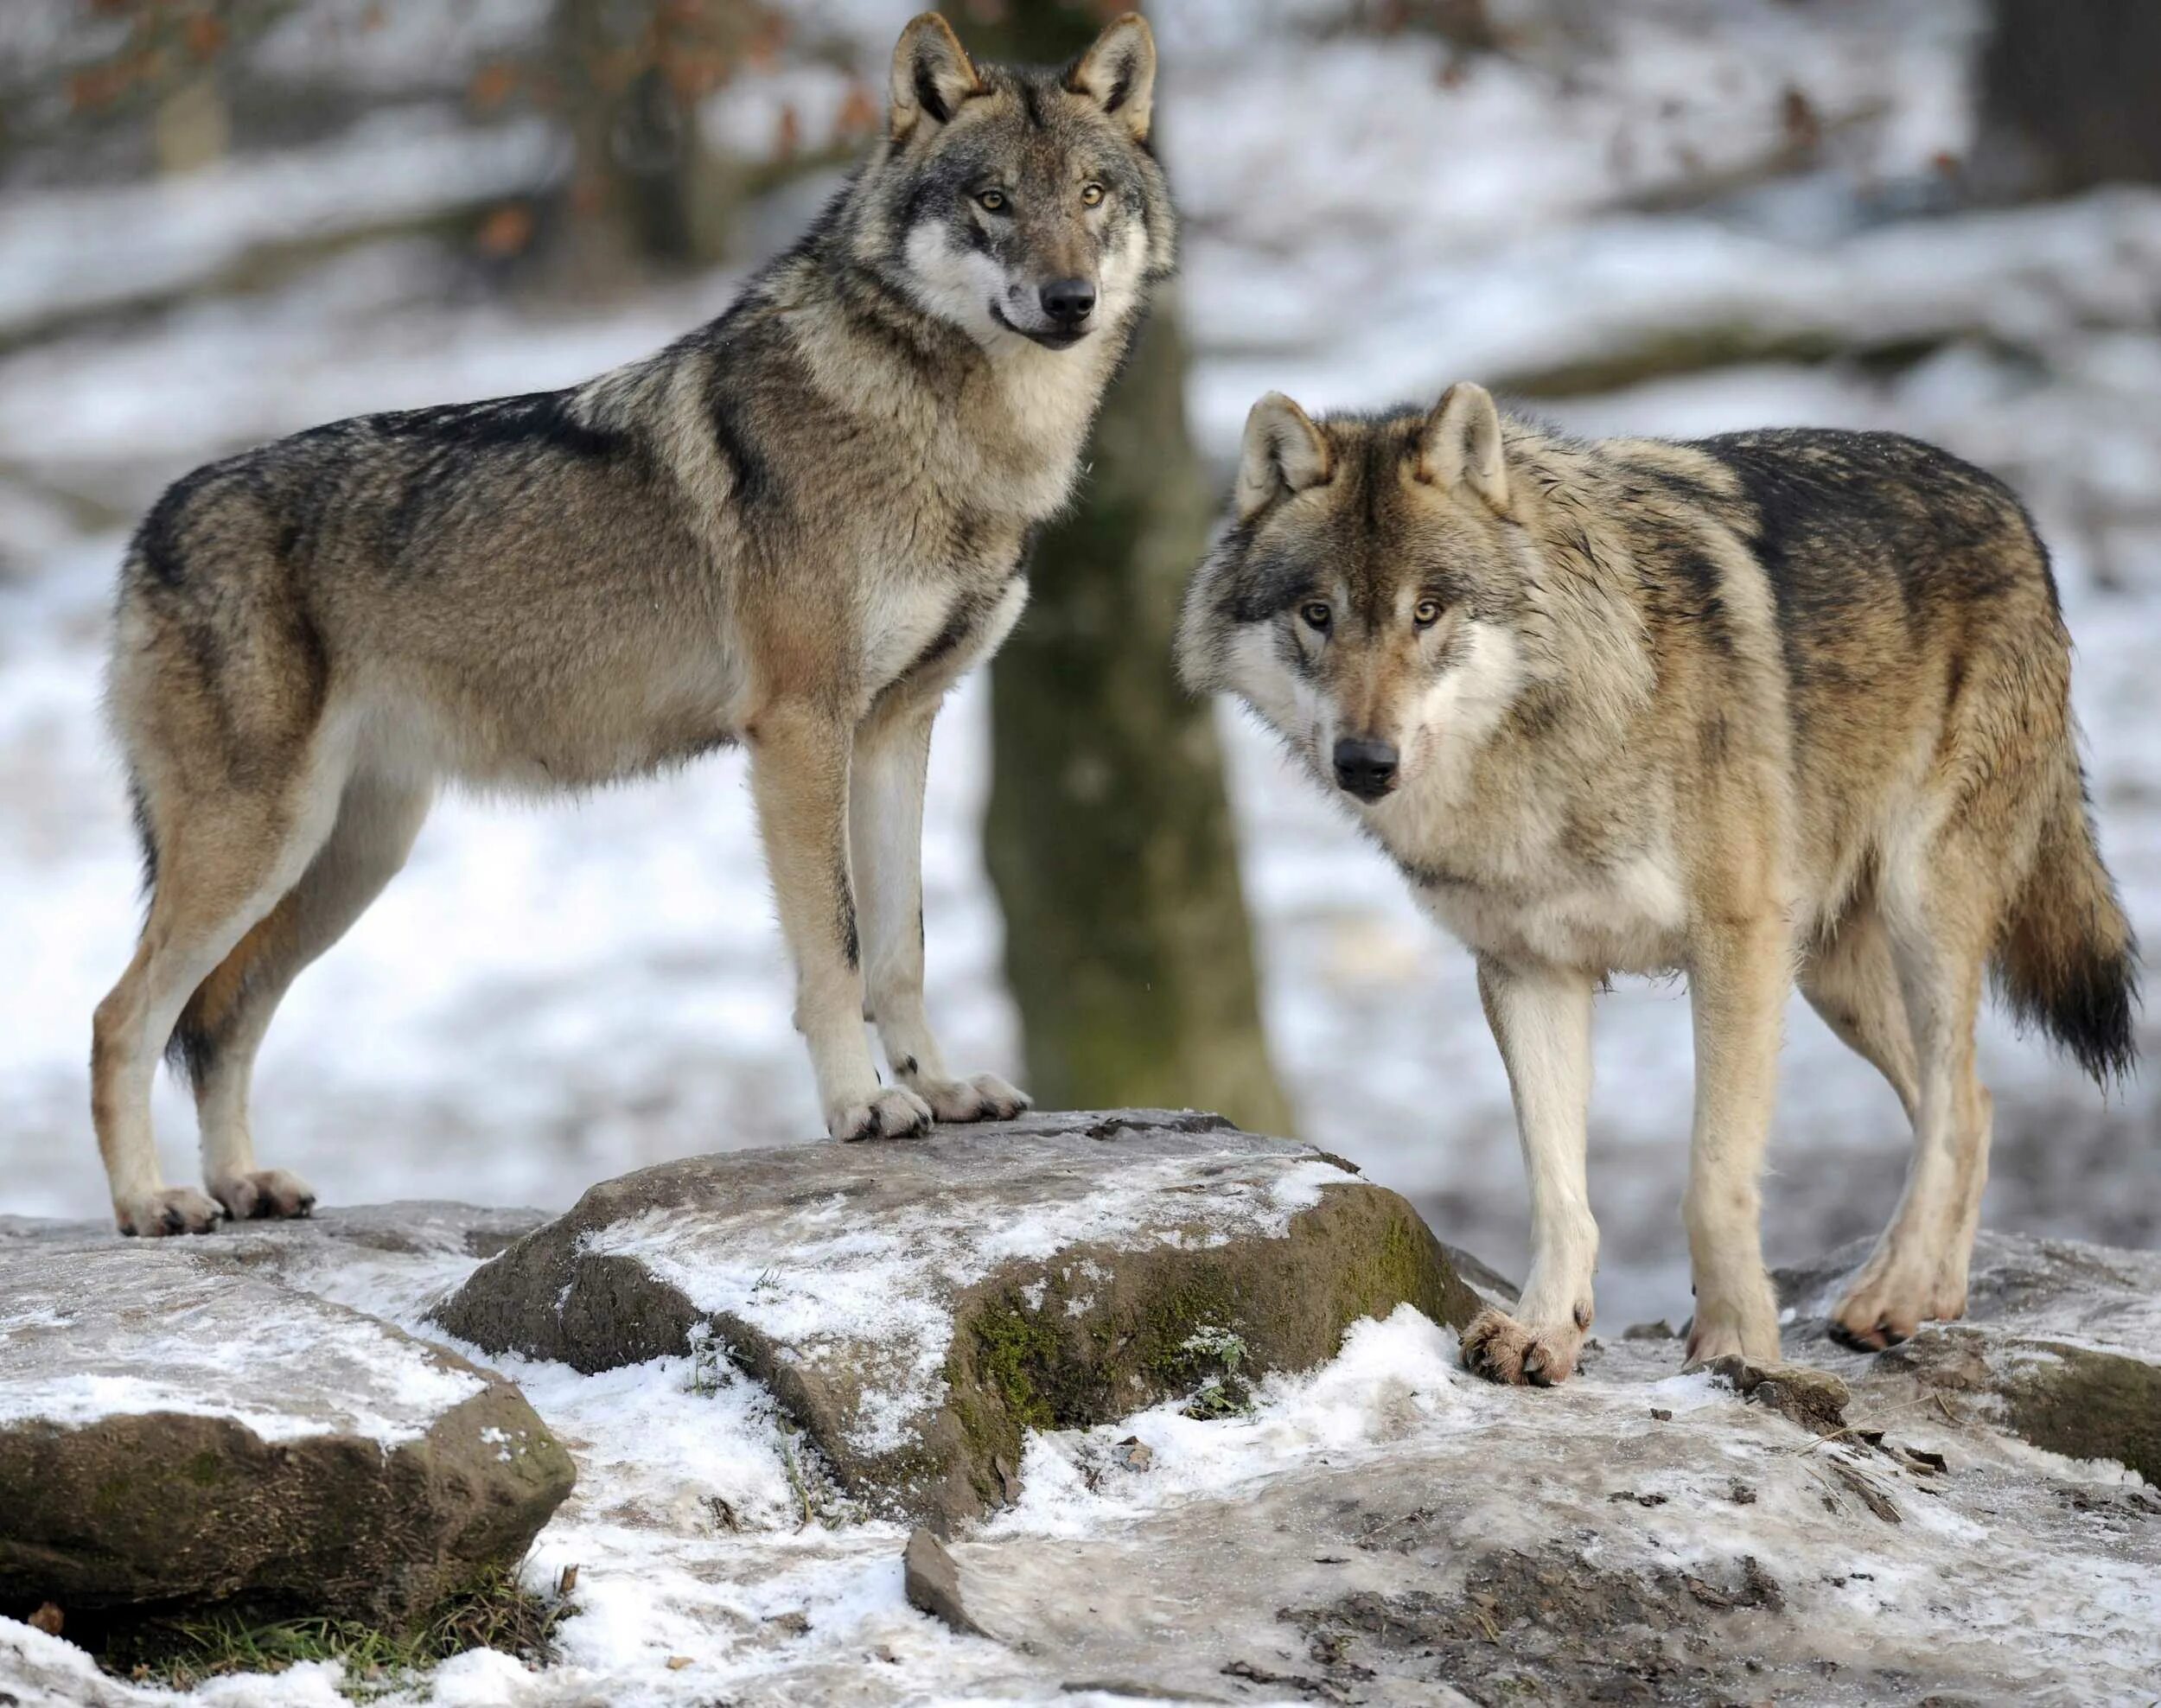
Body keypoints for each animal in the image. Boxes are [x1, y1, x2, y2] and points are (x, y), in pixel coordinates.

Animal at [97, 13, 1184, 1245]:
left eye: (1091, 194)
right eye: (994, 199)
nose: (1069, 299)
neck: (953, 440)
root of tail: (150, 526)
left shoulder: (899, 727)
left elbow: (902, 944)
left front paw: (940, 1088)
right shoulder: (799, 730)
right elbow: (836, 946)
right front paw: (861, 1107)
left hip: (346, 859)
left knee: (225, 1017)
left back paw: (245, 1186)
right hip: (261, 845)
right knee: (124, 1015)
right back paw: (151, 1202)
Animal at [1184, 380, 2144, 1383]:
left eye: (1428, 610)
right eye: (1317, 614)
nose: (1365, 761)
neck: (1539, 752)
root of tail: (2008, 503)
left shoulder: (1736, 945)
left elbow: (1714, 1179)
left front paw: (1737, 1343)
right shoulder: (1530, 968)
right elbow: (1555, 1185)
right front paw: (1545, 1328)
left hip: (1918, 910)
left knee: (1956, 1102)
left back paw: (1893, 1291)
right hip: (1829, 973)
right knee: (1971, 1102)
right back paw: (1932, 1294)